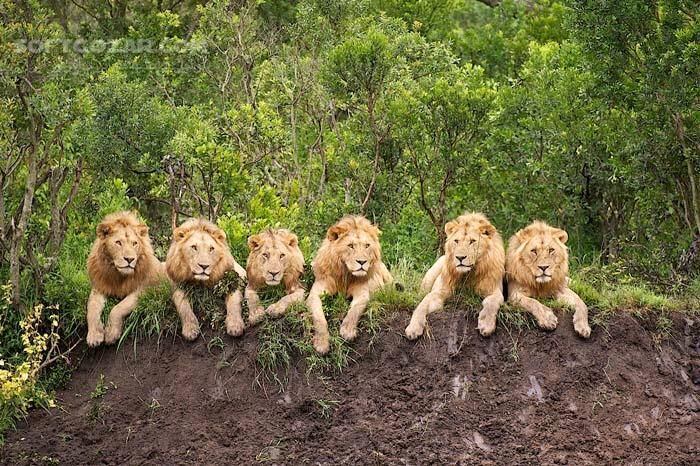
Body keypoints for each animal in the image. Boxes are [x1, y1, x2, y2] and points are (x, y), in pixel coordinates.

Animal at [86, 211, 166, 347]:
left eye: (134, 243)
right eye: (118, 242)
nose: (129, 259)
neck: (118, 275)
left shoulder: (146, 290)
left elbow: (118, 308)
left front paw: (111, 333)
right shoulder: (99, 287)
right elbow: (91, 308)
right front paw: (94, 336)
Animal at [306, 215, 393, 354]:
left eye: (367, 245)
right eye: (351, 245)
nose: (362, 262)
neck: (345, 274)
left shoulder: (362, 293)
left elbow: (355, 310)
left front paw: (347, 331)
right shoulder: (316, 292)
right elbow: (319, 317)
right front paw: (321, 343)